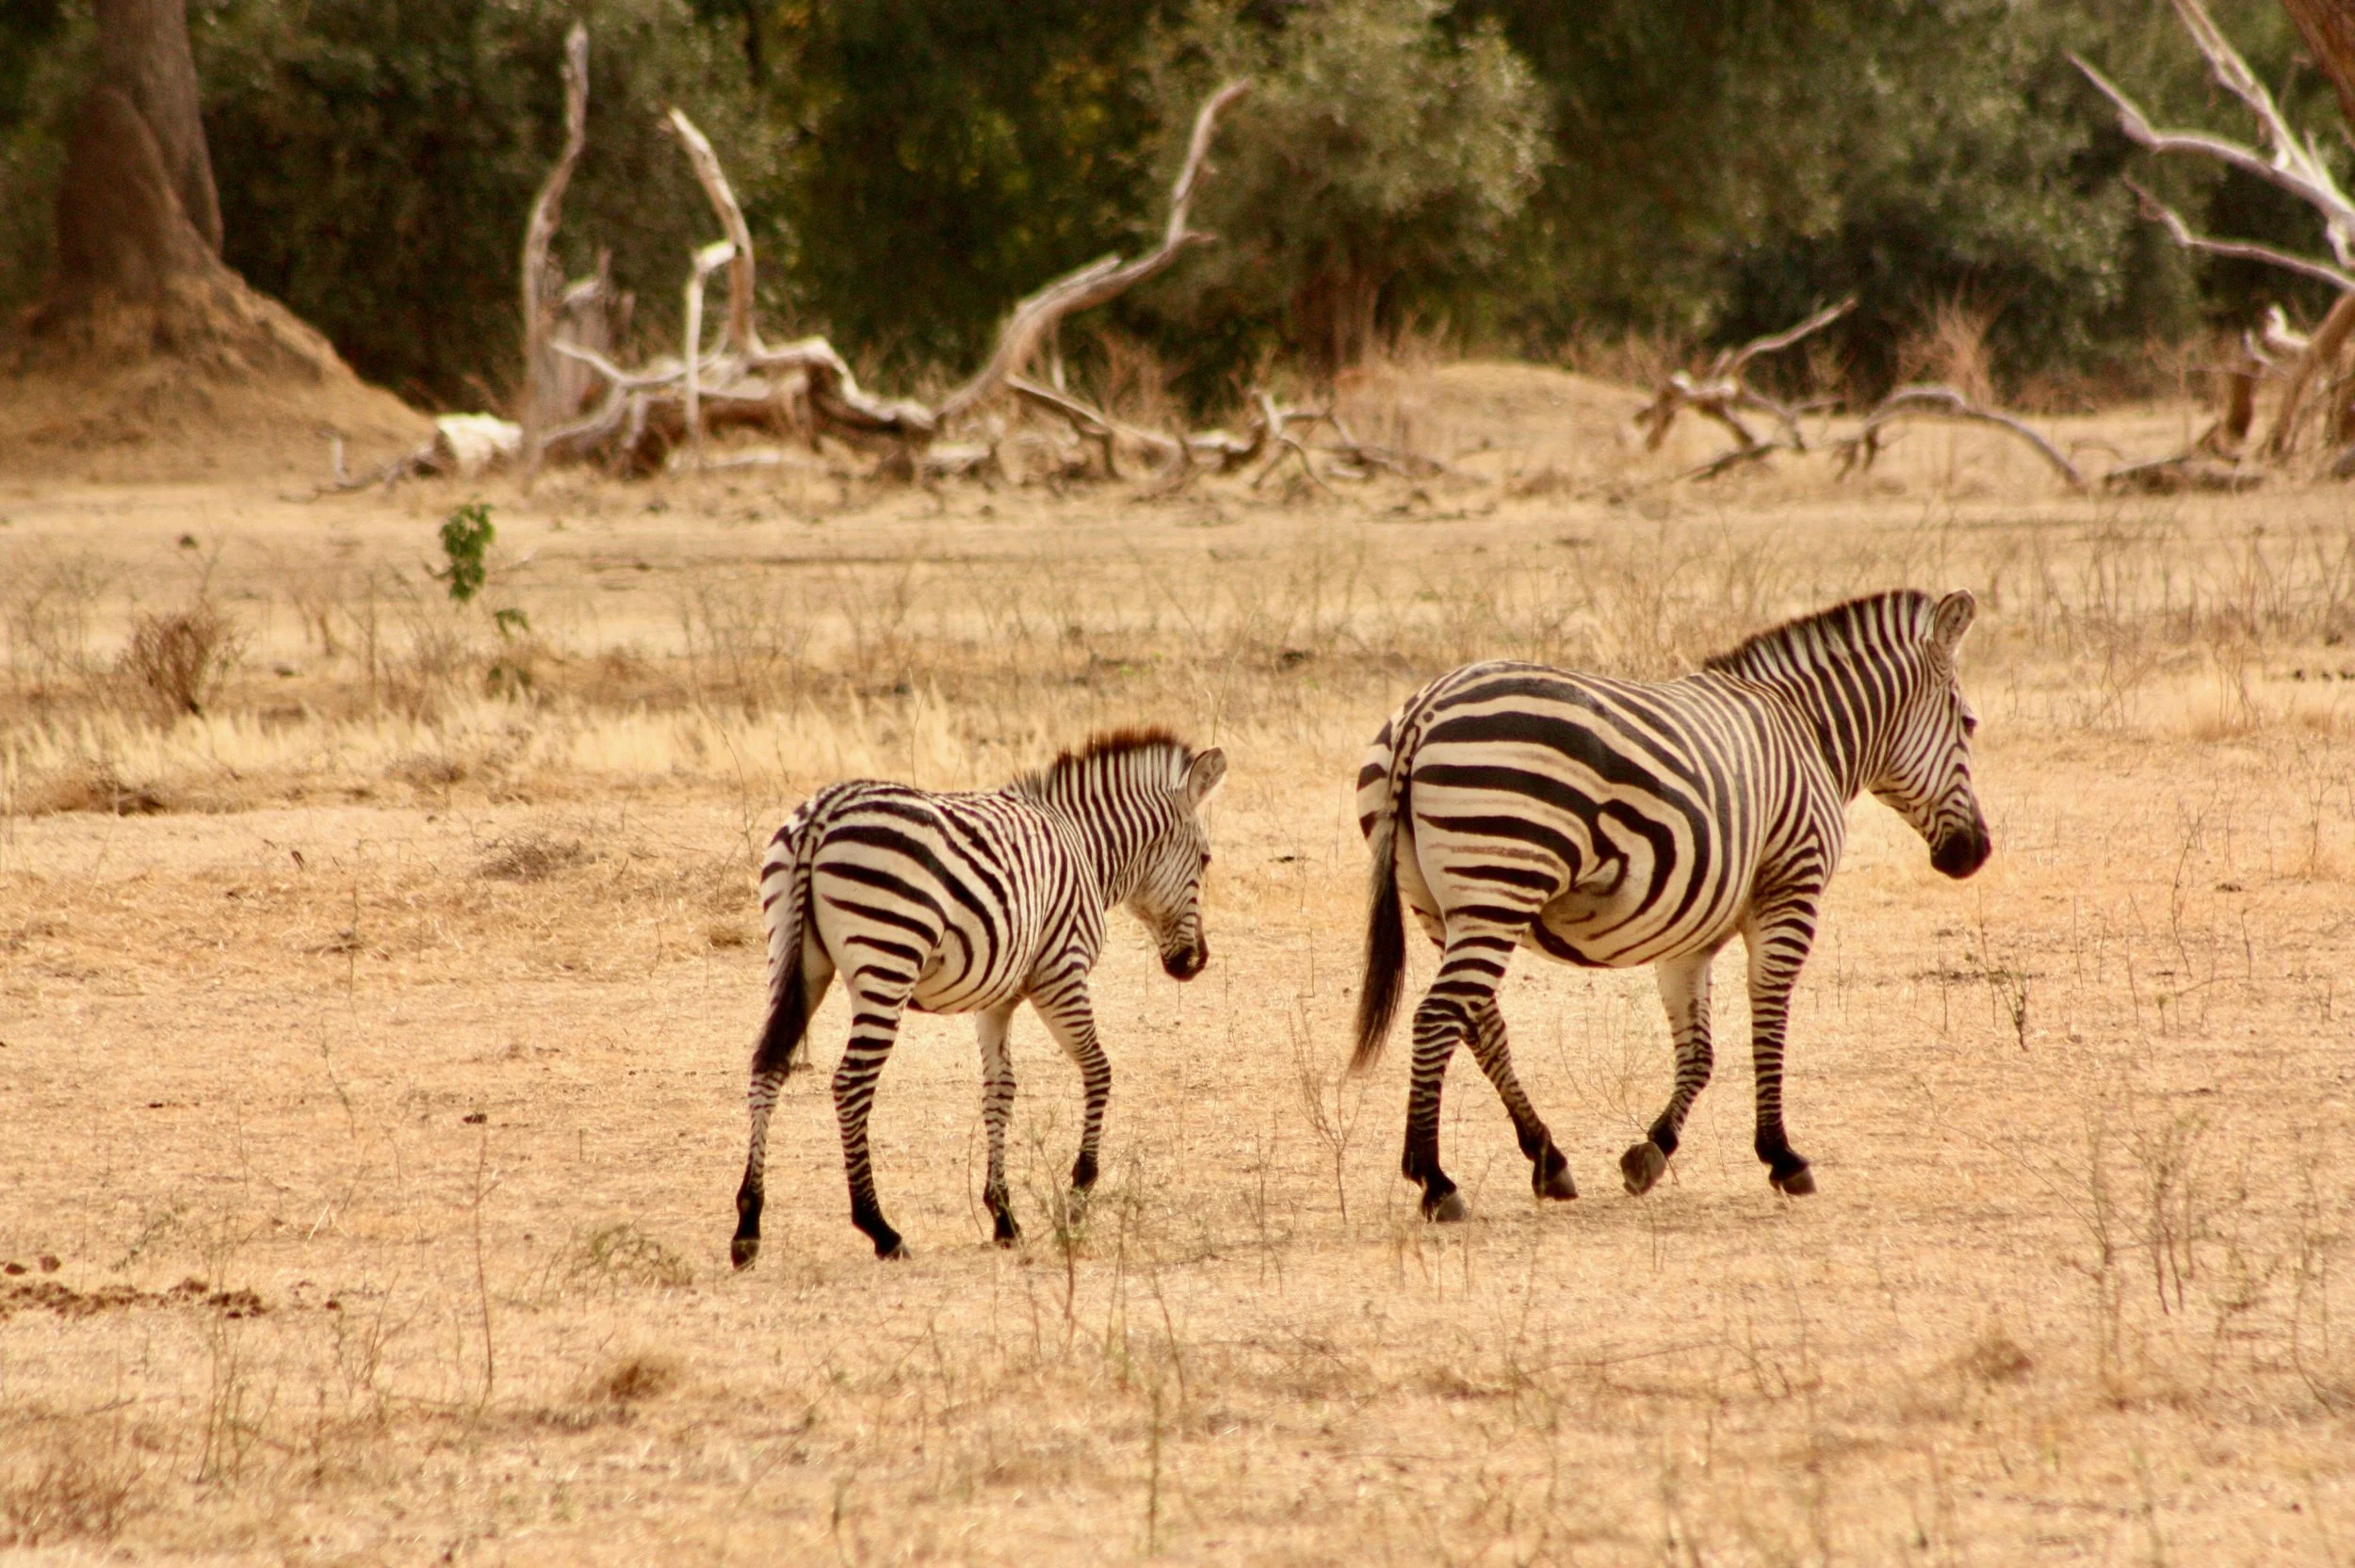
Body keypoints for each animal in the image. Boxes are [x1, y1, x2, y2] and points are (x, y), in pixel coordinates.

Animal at [731, 729, 1227, 1263]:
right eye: (1205, 860)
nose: (1195, 963)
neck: (1085, 846)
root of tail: (823, 813)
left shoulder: (997, 997)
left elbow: (999, 1090)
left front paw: (1003, 1216)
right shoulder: (1061, 972)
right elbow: (1098, 1069)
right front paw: (1078, 1194)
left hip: (795, 957)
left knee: (767, 1066)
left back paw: (748, 1225)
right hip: (888, 959)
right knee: (851, 1084)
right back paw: (880, 1228)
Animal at [1352, 589, 1990, 1220]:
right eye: (1969, 723)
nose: (1975, 854)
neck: (1806, 731)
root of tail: (1425, 708)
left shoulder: (1689, 927)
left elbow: (1700, 1051)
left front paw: (1651, 1151)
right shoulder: (1791, 887)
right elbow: (1769, 1017)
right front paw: (1781, 1156)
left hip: (1440, 905)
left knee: (1480, 1022)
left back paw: (1548, 1159)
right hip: (1501, 880)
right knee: (1438, 1017)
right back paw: (1436, 1181)